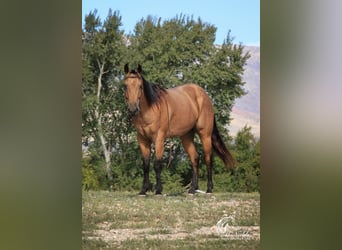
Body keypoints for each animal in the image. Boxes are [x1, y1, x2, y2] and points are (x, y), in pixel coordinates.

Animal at [123, 63, 235, 195]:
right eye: (125, 86)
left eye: (140, 86)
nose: (133, 109)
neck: (151, 109)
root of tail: (204, 95)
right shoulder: (142, 140)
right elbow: (145, 165)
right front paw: (143, 191)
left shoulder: (159, 138)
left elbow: (157, 164)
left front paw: (158, 190)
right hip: (186, 137)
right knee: (195, 158)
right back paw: (192, 189)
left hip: (205, 135)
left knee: (208, 158)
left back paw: (209, 189)